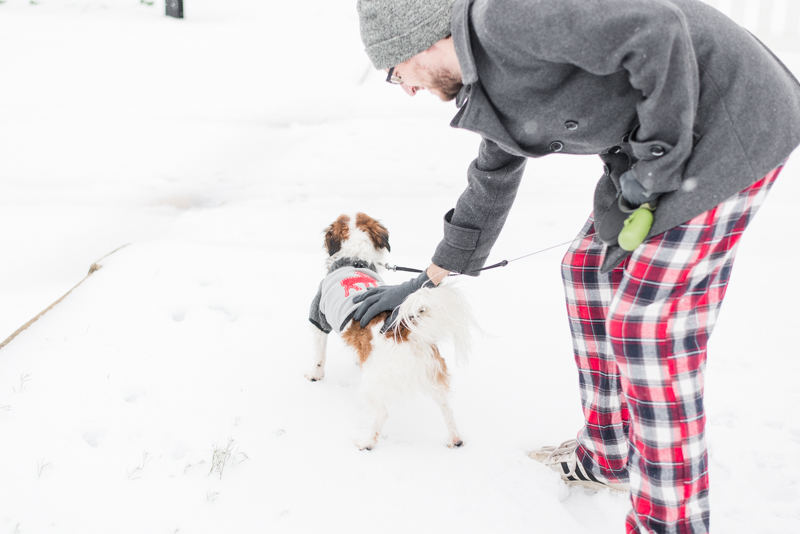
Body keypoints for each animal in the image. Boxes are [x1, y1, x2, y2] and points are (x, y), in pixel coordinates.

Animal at [304, 214, 472, 452]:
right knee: (446, 406)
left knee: (382, 413)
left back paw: (366, 442)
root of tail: (406, 331)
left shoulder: (318, 318)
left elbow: (319, 355)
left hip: (373, 382)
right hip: (433, 374)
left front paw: (315, 375)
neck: (355, 258)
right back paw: (455, 439)